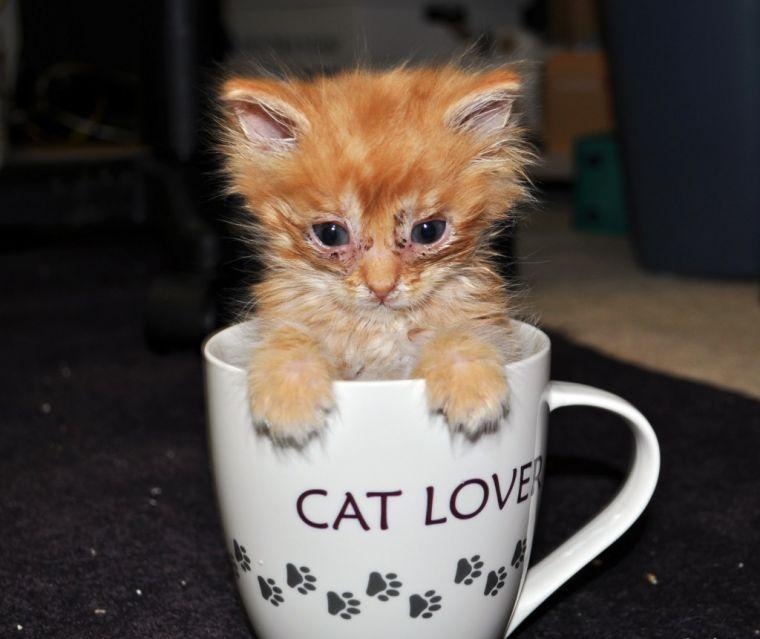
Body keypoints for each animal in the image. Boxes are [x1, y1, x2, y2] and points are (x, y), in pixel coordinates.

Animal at [218, 66, 528, 444]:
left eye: (429, 231)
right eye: (330, 234)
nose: (381, 287)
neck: (379, 334)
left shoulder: (487, 322)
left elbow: (459, 332)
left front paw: (470, 383)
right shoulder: (283, 315)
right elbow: (289, 335)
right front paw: (289, 394)